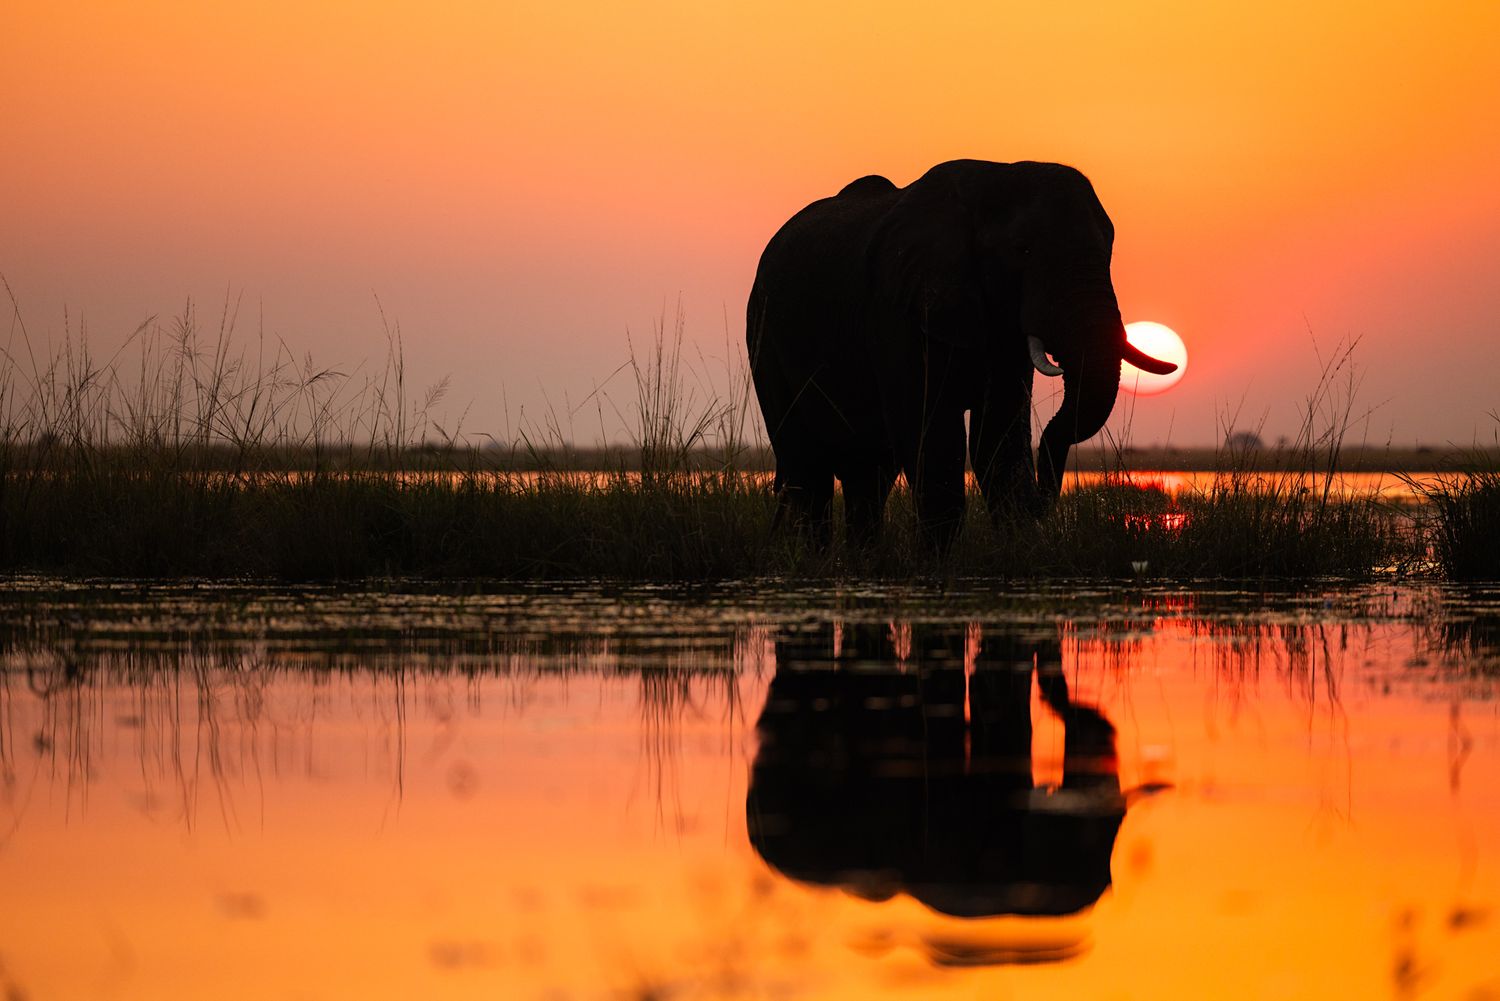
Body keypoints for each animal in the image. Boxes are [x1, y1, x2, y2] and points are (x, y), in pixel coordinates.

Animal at [746, 159, 1176, 547]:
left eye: (1109, 253)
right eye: (1022, 250)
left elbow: (998, 435)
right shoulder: (898, 311)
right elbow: (933, 432)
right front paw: (938, 562)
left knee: (868, 473)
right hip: (764, 340)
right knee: (808, 467)